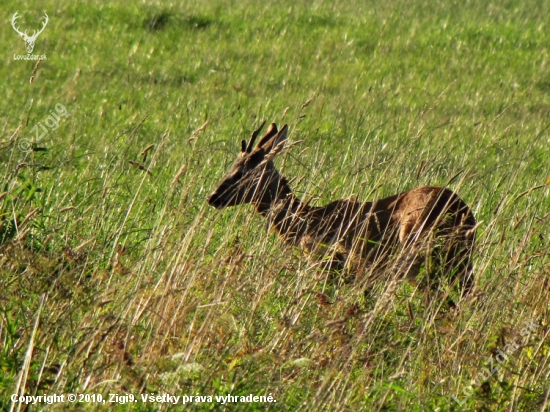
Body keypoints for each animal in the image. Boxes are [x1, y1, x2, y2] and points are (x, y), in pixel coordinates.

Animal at [209, 120, 476, 294]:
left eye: (241, 172)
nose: (213, 197)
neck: (308, 222)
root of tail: (462, 212)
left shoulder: (329, 263)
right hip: (460, 264)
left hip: (417, 256)